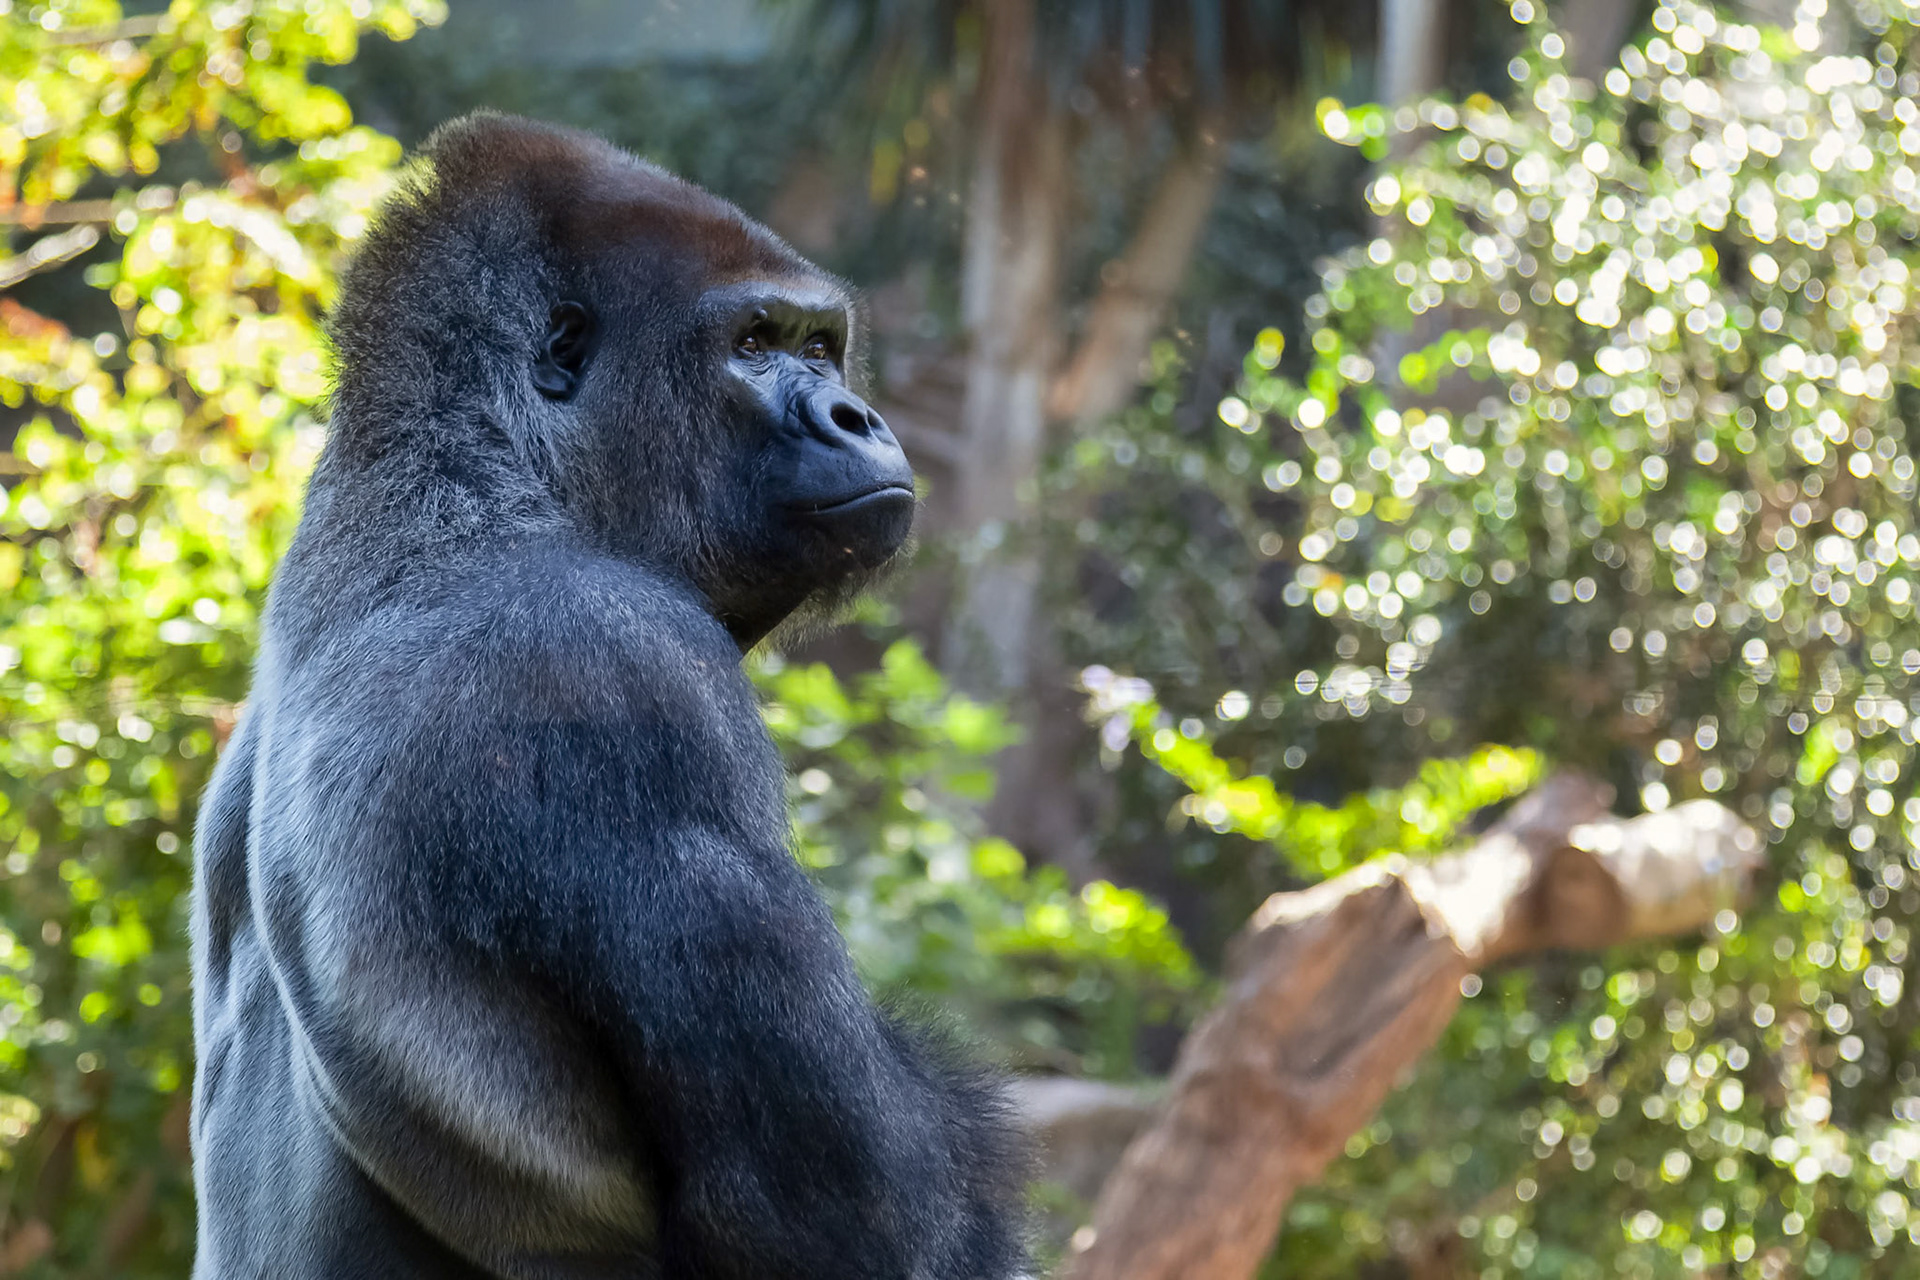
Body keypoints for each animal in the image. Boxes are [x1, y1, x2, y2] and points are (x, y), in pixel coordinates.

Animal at [189, 112, 1029, 1280]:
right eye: (755, 343)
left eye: (820, 346)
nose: (858, 415)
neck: (474, 483)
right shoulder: (620, 667)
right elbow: (847, 1212)